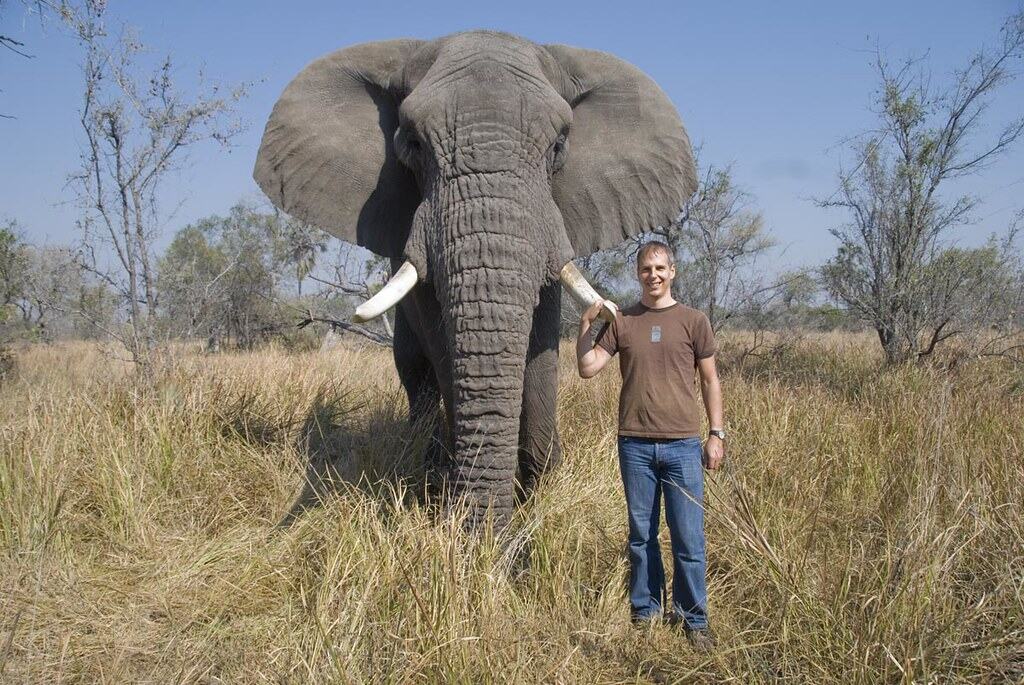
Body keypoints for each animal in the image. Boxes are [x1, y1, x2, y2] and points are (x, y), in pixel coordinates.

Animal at [254, 30, 696, 529]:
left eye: (559, 146)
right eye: (411, 143)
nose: (493, 534)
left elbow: (541, 344)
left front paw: (539, 488)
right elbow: (443, 346)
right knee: (415, 371)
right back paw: (428, 468)